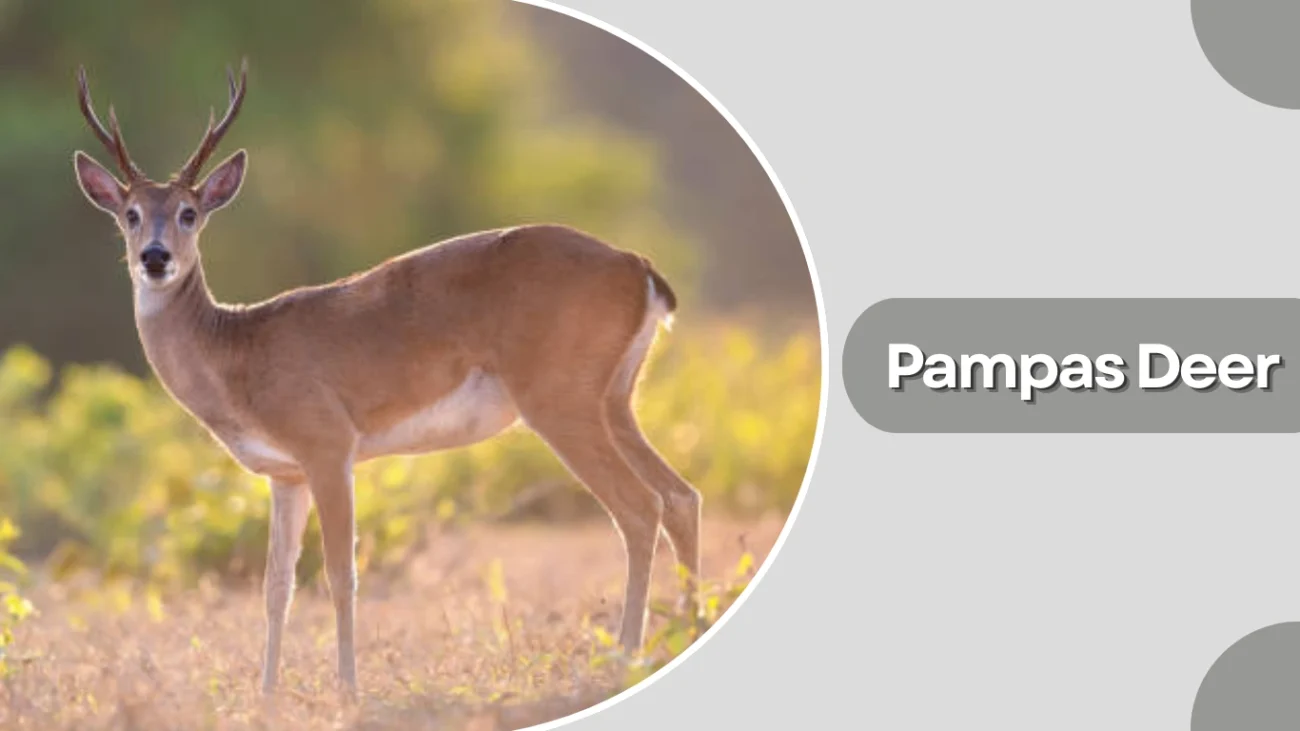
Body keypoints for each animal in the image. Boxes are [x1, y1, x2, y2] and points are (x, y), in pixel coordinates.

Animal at [70, 59, 702, 695]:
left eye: (189, 212)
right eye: (129, 213)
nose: (155, 258)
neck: (236, 349)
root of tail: (638, 267)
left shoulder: (329, 450)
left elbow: (340, 572)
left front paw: (348, 690)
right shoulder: (285, 476)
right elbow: (276, 586)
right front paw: (267, 695)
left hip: (560, 405)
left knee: (639, 509)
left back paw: (624, 658)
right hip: (615, 402)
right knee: (680, 495)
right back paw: (684, 633)